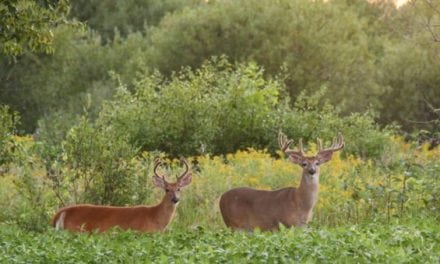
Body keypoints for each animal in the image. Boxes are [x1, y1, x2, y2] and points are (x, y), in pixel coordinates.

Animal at [50, 158, 192, 232]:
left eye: (179, 188)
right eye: (167, 189)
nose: (175, 199)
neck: (155, 217)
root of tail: (60, 213)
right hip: (75, 231)